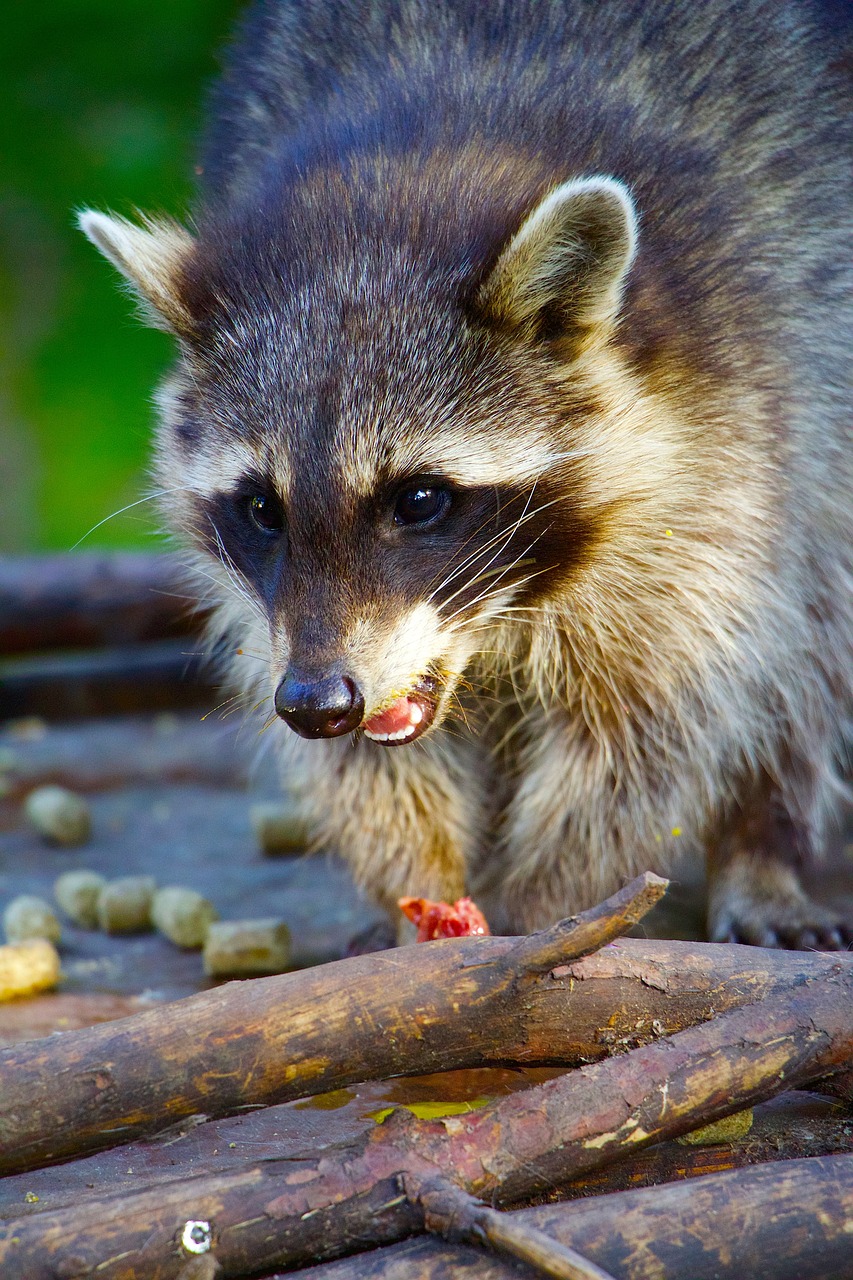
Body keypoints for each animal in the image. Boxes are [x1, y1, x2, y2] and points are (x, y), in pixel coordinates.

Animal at [76, 2, 845, 952]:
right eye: (261, 509)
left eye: (418, 499)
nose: (316, 704)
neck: (410, 173)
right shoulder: (291, 620)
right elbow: (366, 766)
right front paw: (417, 886)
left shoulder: (726, 431)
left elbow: (649, 719)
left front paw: (550, 907)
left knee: (811, 617)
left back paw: (763, 844)